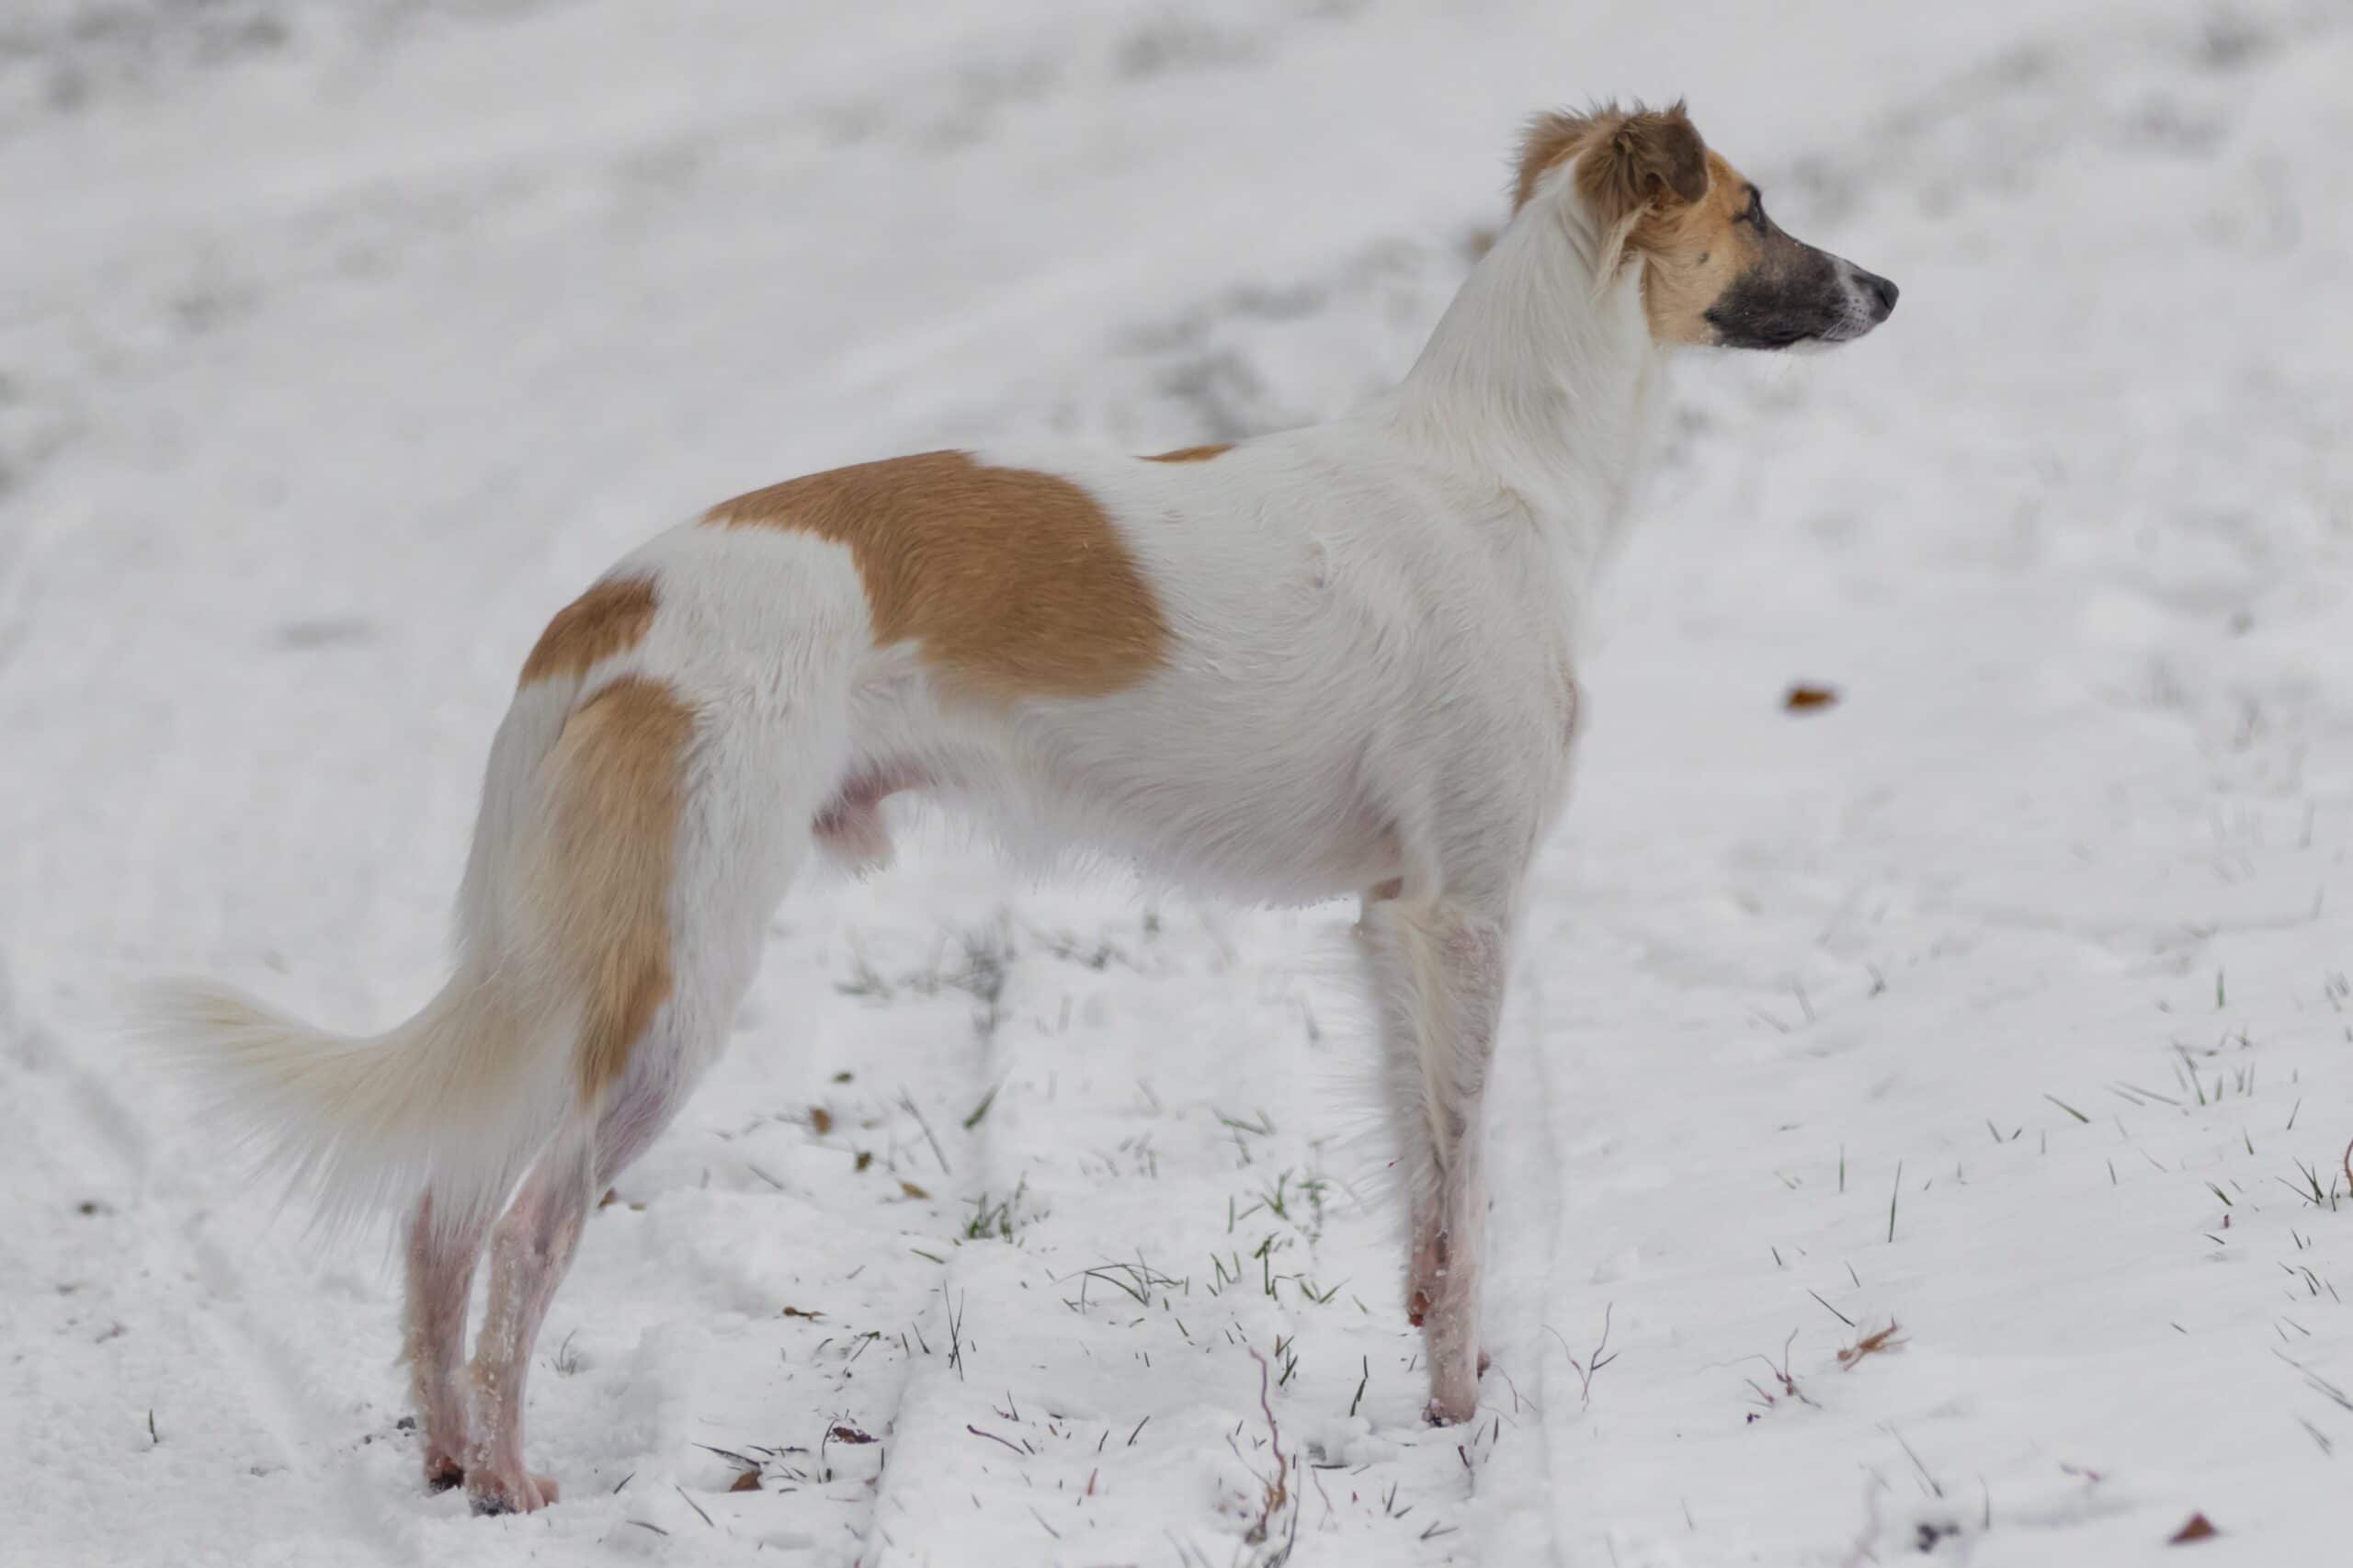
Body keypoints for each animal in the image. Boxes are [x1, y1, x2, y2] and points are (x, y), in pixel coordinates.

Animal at [152, 100, 1892, 1516]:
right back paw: (514, 1473)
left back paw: (449, 1451)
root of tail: (605, 607)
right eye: (1755, 206)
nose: (1886, 294)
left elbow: (1421, 1180)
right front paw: (1462, 1414)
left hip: (579, 967)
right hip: (674, 980)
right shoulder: (1471, 907)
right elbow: (1466, 1201)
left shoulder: (1391, 916)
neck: (1499, 463)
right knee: (522, 1227)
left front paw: (1421, 1356)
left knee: (441, 1211)